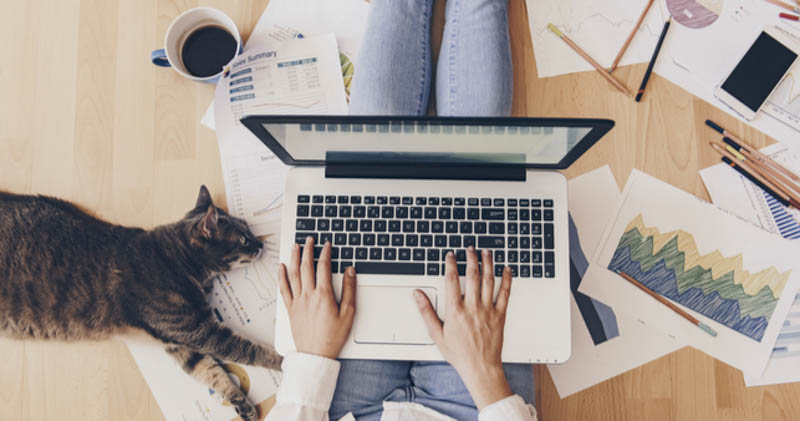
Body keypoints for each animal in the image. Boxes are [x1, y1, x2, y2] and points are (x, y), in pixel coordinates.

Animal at [0, 185, 282, 418]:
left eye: (249, 230)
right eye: (243, 238)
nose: (260, 244)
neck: (177, 260)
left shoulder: (179, 341)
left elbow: (210, 371)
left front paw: (240, 401)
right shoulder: (200, 332)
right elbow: (249, 350)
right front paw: (283, 361)